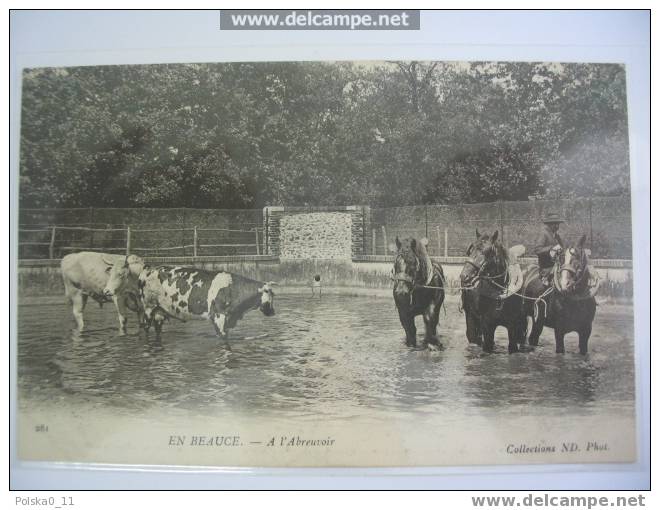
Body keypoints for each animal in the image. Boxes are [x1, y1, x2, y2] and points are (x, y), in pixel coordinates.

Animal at [130, 266, 274, 342]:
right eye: (270, 294)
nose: (273, 312)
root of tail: (147, 269)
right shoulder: (218, 317)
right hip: (148, 308)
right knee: (145, 328)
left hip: (159, 311)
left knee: (158, 330)